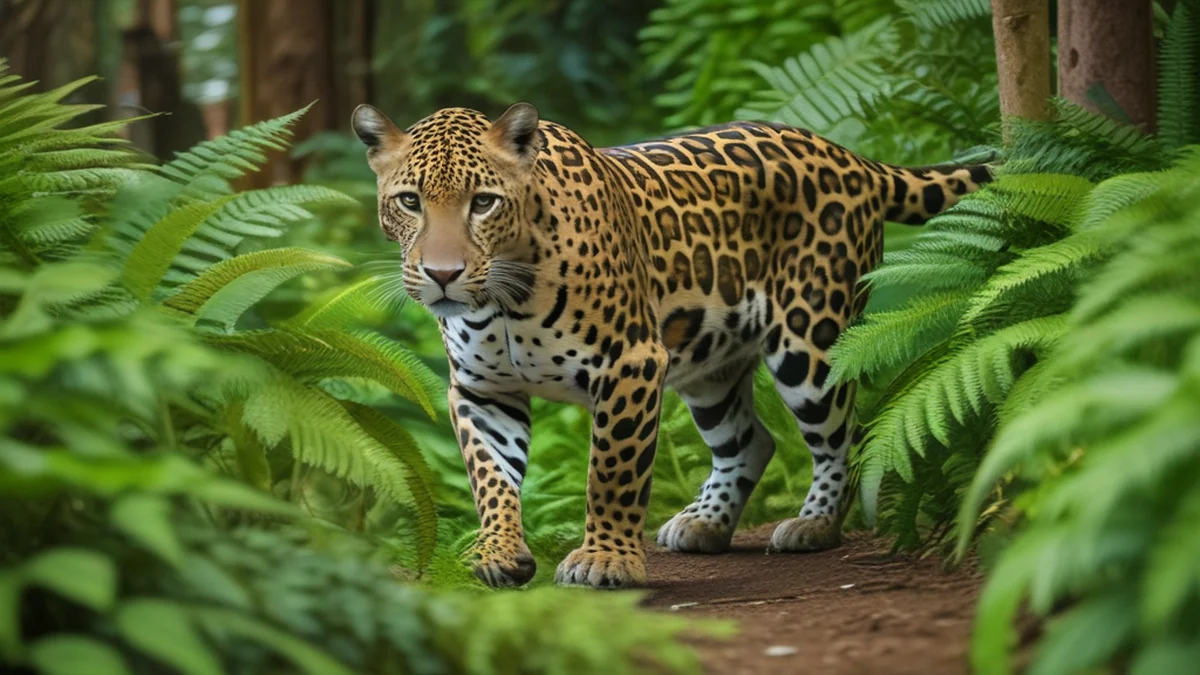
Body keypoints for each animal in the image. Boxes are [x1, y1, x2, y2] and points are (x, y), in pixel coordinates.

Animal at [351, 102, 991, 589]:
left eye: (483, 201)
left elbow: (610, 472)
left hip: (809, 342)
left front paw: (605, 560)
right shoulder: (483, 390)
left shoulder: (630, 363)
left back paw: (813, 526)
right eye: (410, 201)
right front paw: (499, 552)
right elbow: (490, 476)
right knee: (750, 441)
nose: (442, 275)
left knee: (846, 435)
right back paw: (705, 524)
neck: (505, 301)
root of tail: (849, 157)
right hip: (710, 364)